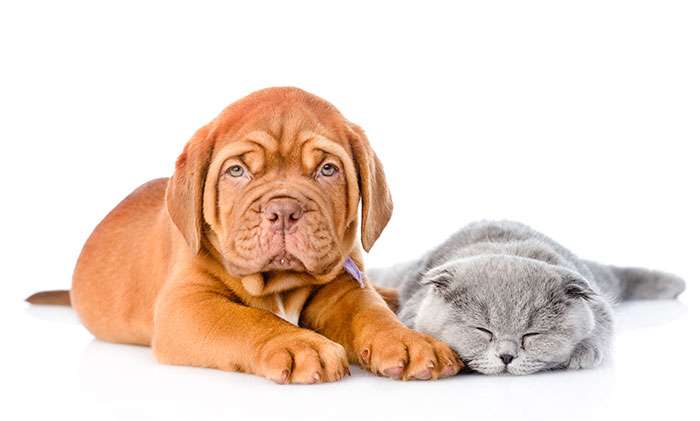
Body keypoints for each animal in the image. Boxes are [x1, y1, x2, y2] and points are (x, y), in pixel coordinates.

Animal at [27, 87, 462, 382]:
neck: (278, 283)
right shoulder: (186, 305)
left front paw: (408, 341)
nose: (283, 210)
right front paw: (298, 343)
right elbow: (246, 319)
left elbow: (370, 312)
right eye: (237, 171)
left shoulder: (345, 287)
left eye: (327, 169)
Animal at [370, 220, 688, 374]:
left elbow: (601, 327)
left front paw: (583, 353)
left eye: (531, 334)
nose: (507, 357)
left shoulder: (597, 305)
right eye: (483, 331)